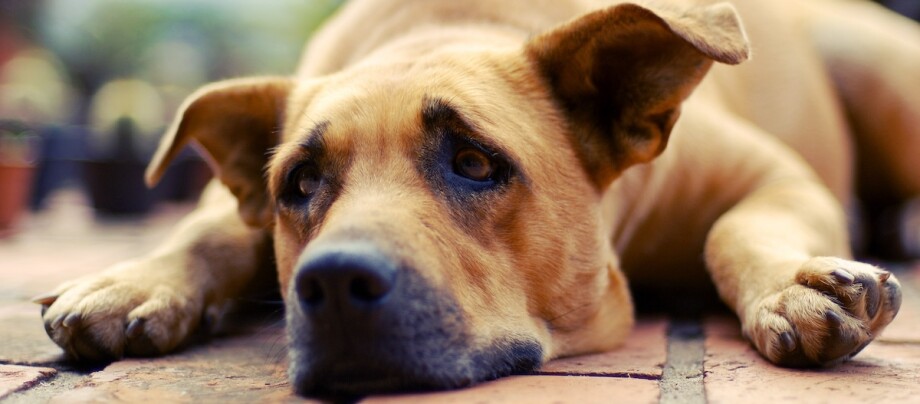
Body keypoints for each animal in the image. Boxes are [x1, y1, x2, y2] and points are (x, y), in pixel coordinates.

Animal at [32, 0, 916, 398]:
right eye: (300, 185)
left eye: (473, 162)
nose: (332, 283)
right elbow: (210, 228)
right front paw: (133, 280)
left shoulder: (775, 176)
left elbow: (735, 230)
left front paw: (795, 282)